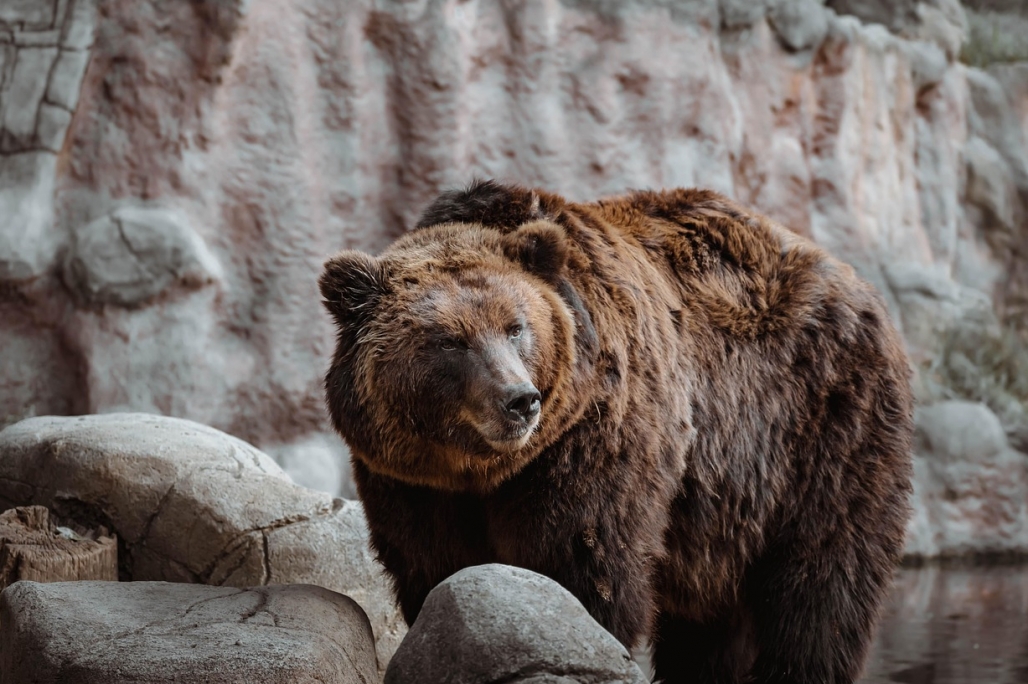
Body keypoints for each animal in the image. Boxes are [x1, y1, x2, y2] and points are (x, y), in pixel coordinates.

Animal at [316, 181, 912, 682]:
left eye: (516, 327)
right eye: (450, 340)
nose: (520, 400)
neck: (480, 469)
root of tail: (858, 283)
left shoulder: (594, 436)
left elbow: (584, 560)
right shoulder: (411, 481)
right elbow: (432, 566)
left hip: (821, 428)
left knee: (822, 583)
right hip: (727, 513)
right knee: (713, 620)